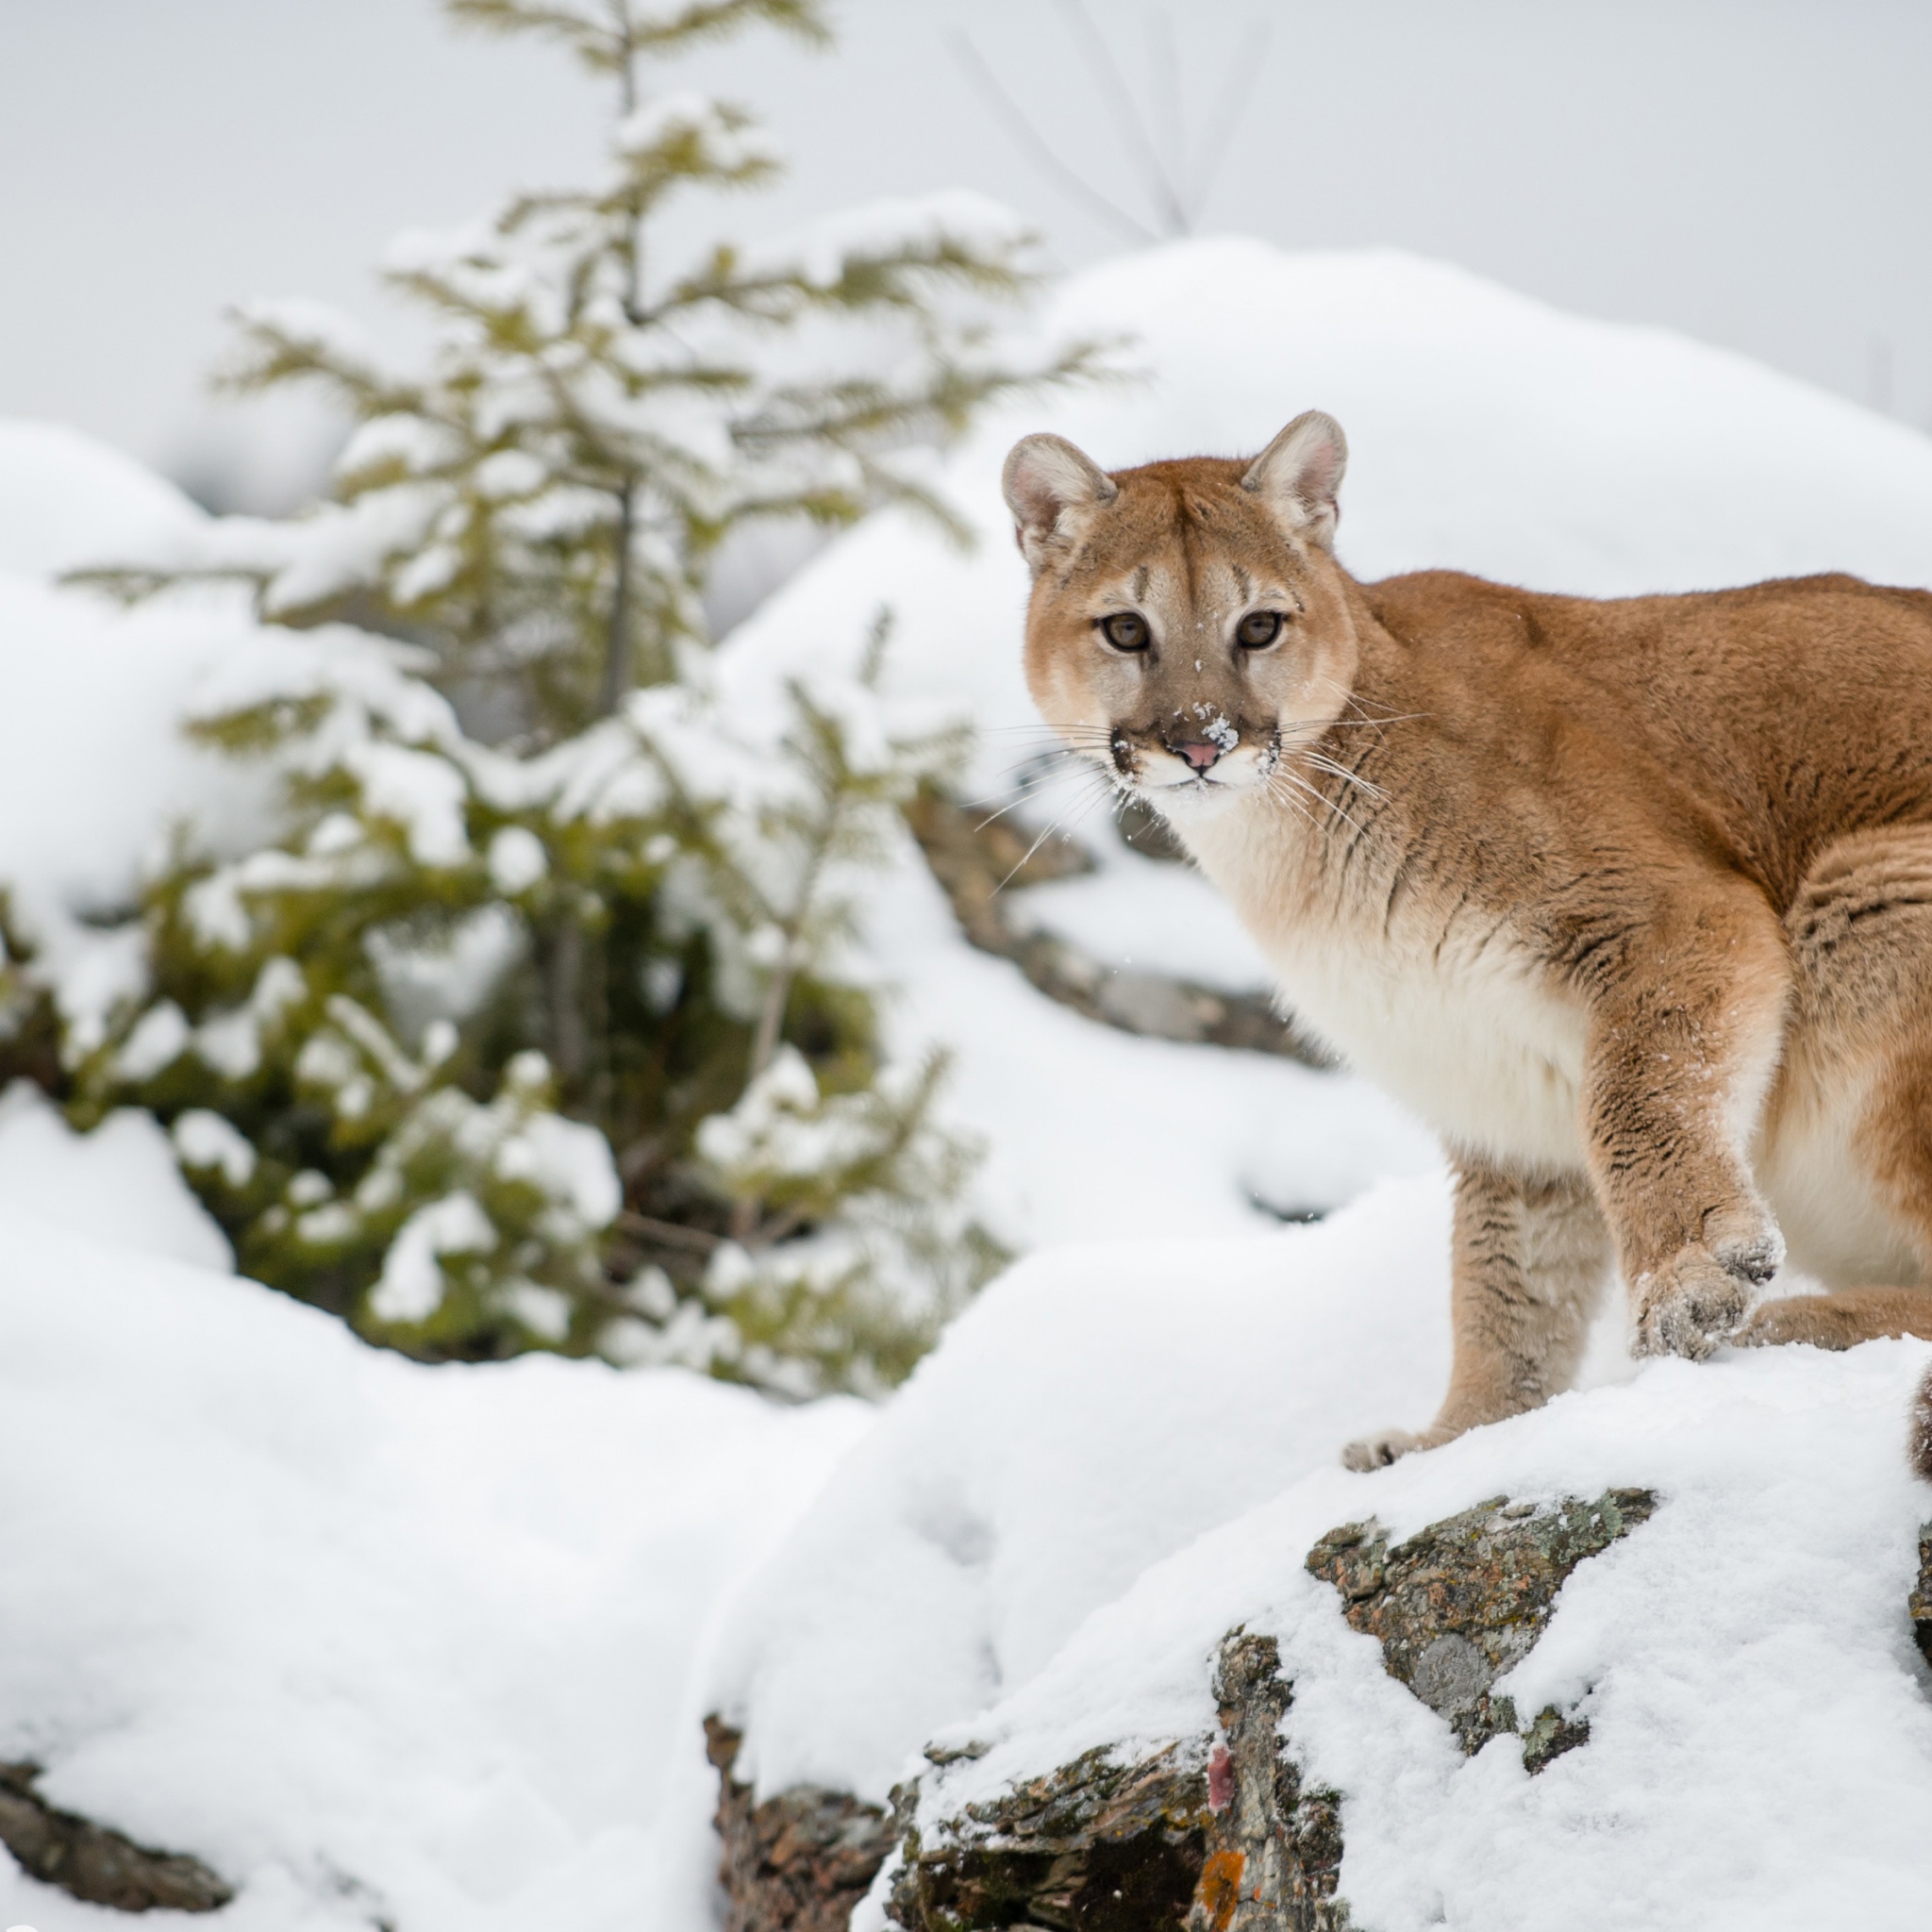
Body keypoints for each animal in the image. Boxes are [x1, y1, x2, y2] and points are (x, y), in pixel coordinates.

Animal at [1004, 408, 1932, 1460]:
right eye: (1126, 628)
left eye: (1258, 626)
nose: (1202, 742)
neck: (1288, 836)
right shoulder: (1498, 1084)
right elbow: (1504, 1281)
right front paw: (1462, 1437)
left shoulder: (1673, 917)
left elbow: (1639, 1103)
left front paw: (1690, 1276)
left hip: (1863, 892)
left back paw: (1801, 1322)